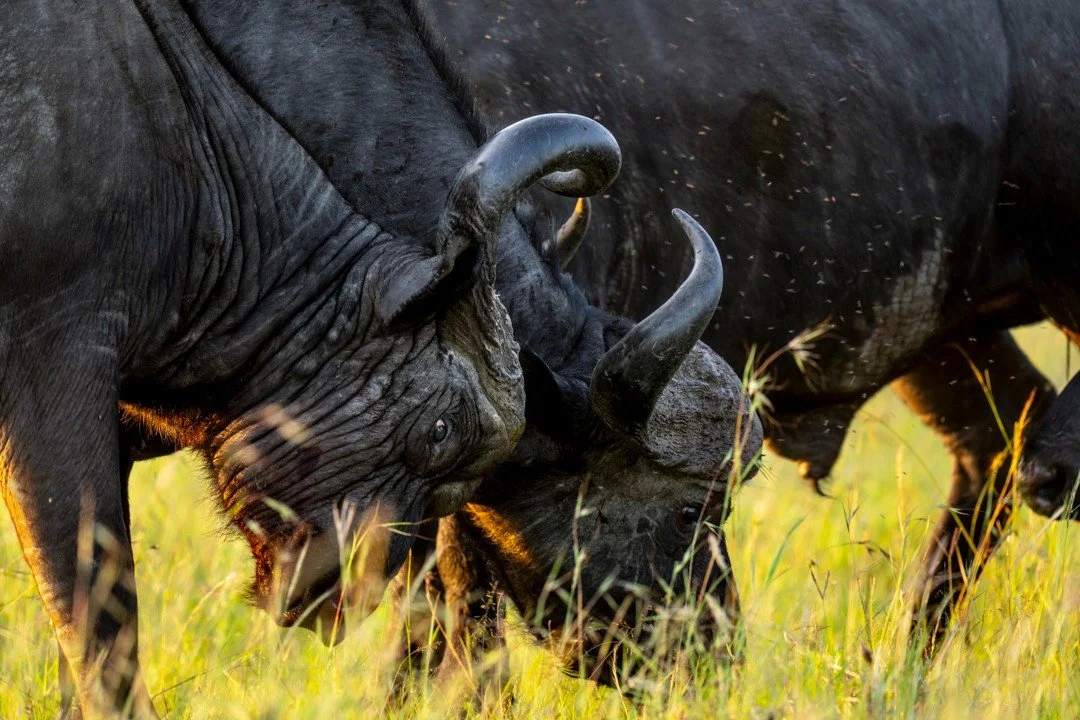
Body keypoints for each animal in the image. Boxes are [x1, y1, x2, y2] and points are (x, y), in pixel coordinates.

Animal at [417, 0, 1080, 664]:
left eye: (694, 512)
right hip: (951, 340)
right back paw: (905, 656)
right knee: (996, 437)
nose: (710, 647)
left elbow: (458, 595)